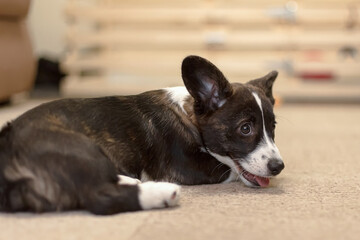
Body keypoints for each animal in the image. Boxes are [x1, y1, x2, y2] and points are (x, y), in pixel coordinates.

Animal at [0, 55, 284, 214]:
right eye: (245, 128)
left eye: (273, 127)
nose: (278, 166)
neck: (190, 115)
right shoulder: (187, 166)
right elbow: (230, 170)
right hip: (80, 147)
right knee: (100, 197)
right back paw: (160, 193)